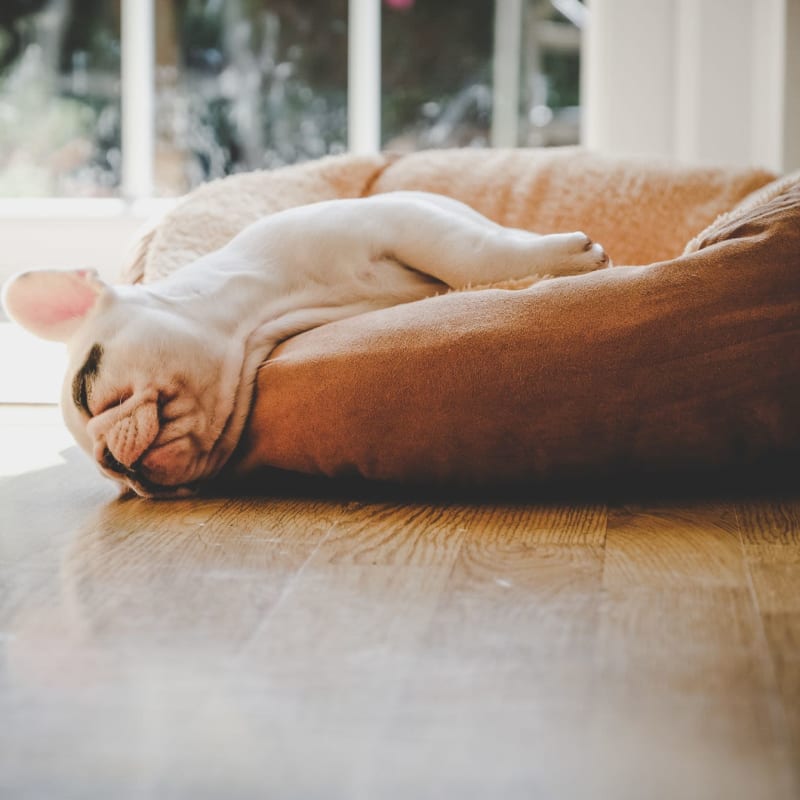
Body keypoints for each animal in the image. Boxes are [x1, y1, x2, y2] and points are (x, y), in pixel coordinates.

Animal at [3, 191, 608, 496]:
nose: (113, 463)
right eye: (114, 482)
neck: (260, 311)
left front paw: (563, 259)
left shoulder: (401, 222)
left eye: (87, 392)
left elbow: (469, 254)